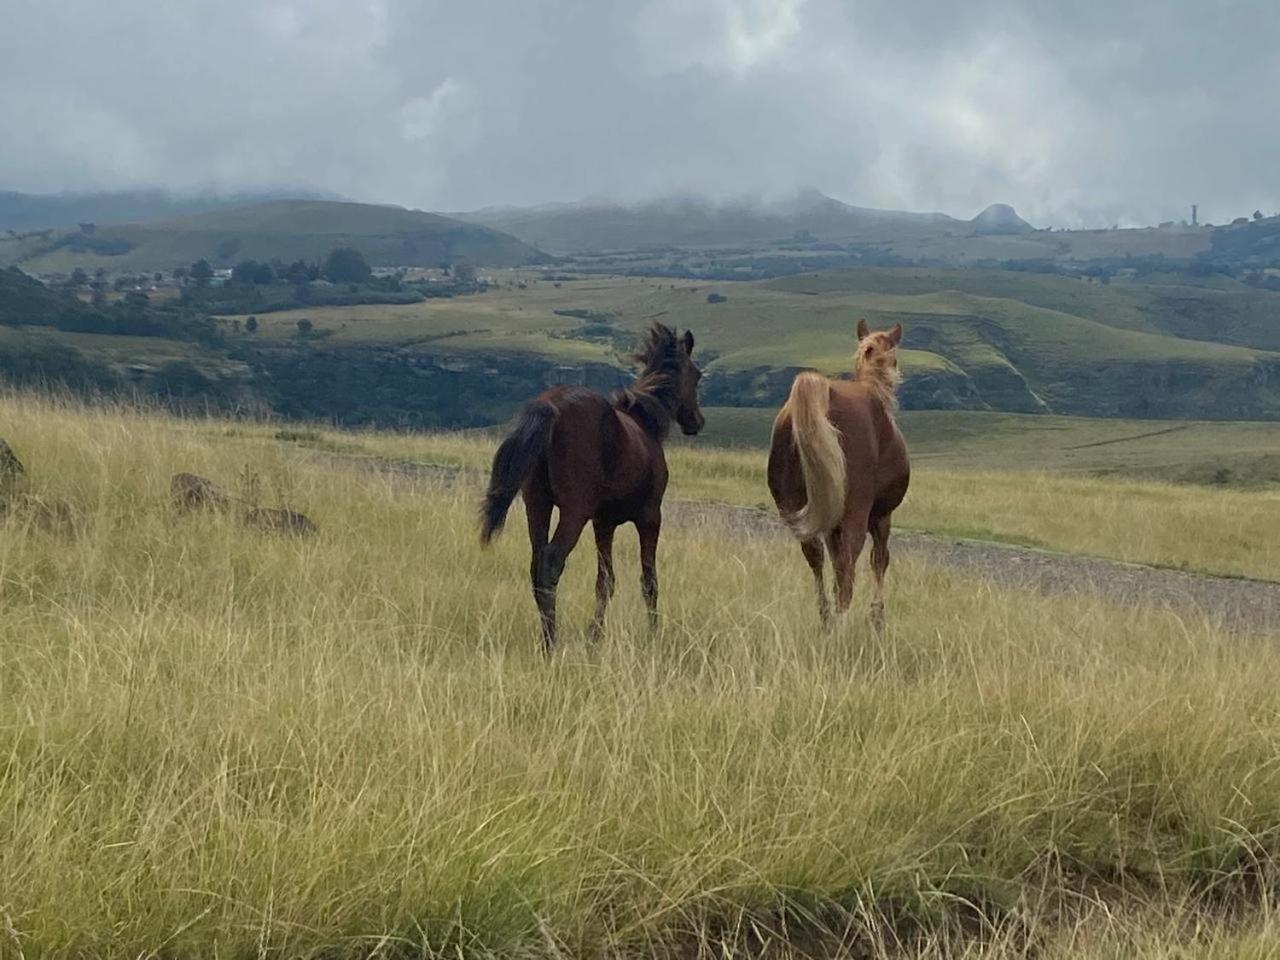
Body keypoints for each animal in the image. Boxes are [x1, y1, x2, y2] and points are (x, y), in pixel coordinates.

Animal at [481, 325, 706, 655]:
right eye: (698, 374)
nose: (697, 422)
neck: (645, 423)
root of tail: (549, 406)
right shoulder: (650, 517)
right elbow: (649, 581)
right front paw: (653, 635)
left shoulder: (604, 523)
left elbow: (605, 582)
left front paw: (595, 636)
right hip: (574, 511)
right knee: (551, 564)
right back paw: (551, 643)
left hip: (537, 503)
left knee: (536, 565)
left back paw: (547, 638)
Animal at [762, 317, 906, 632]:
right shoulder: (881, 516)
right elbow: (880, 561)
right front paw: (877, 617)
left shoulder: (830, 523)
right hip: (855, 515)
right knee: (846, 571)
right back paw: (841, 622)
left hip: (795, 506)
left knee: (815, 555)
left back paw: (827, 616)